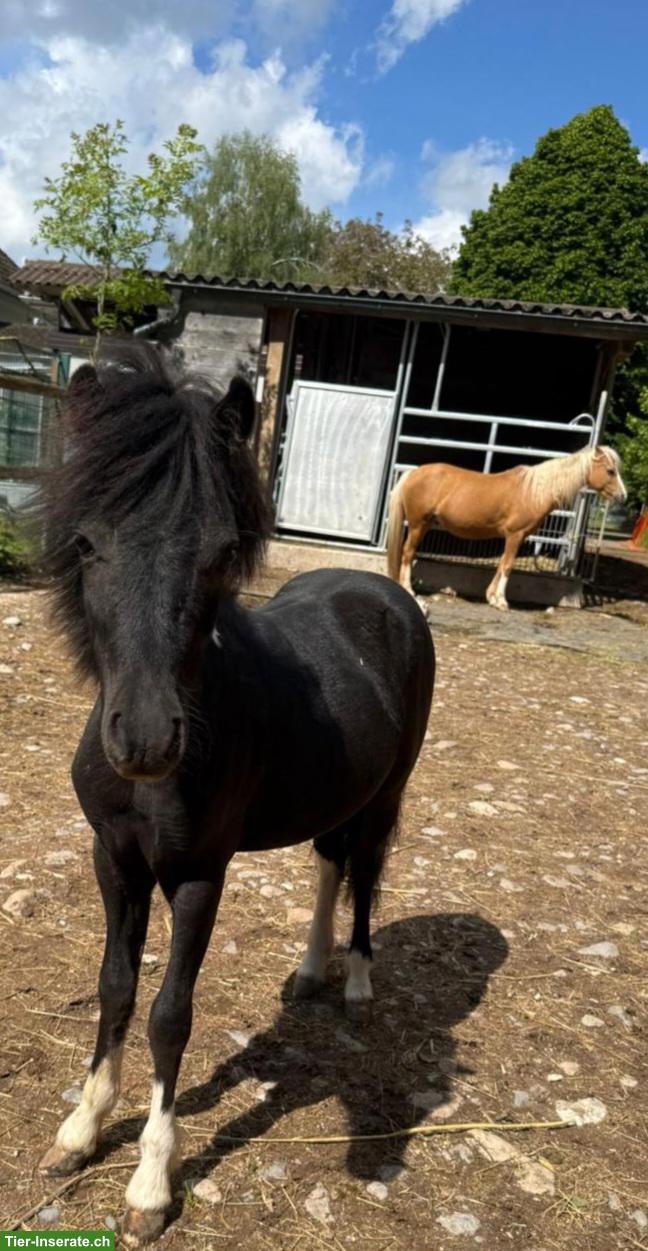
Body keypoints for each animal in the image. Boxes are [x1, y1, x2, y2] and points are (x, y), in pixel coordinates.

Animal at [37, 344, 435, 1245]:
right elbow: (115, 986)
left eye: (219, 552)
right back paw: (310, 970)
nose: (147, 739)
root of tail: (385, 593)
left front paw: (151, 1182)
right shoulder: (115, 861)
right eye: (87, 543)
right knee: (330, 862)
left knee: (365, 873)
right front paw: (80, 1128)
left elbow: (169, 1014)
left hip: (387, 793)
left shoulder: (197, 876)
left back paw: (356, 982)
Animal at [386, 445, 627, 610]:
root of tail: (413, 472)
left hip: (424, 525)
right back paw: (408, 589)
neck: (533, 491)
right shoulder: (515, 536)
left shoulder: (514, 538)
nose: (623, 497)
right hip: (418, 525)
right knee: (408, 553)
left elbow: (501, 564)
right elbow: (508, 566)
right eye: (610, 471)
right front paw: (501, 601)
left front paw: (491, 597)